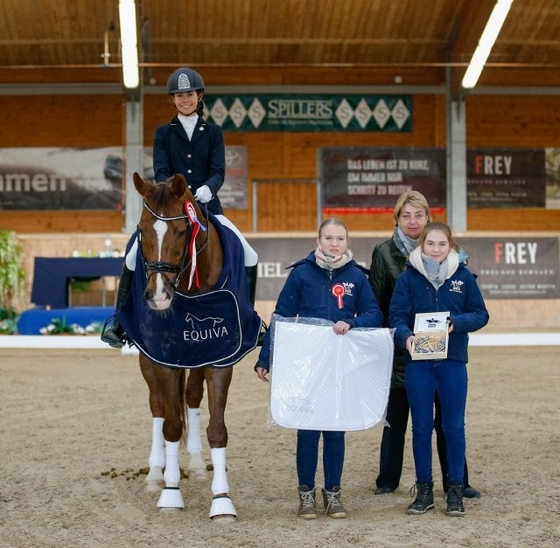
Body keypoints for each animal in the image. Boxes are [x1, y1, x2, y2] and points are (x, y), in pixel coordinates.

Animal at [118, 173, 262, 520]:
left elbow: (217, 428)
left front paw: (222, 500)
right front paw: (170, 494)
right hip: (148, 359)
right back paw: (155, 474)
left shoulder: (220, 358)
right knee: (157, 407)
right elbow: (170, 425)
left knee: (193, 398)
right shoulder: (163, 357)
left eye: (184, 231)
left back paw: (196, 465)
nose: (158, 296)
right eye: (141, 230)